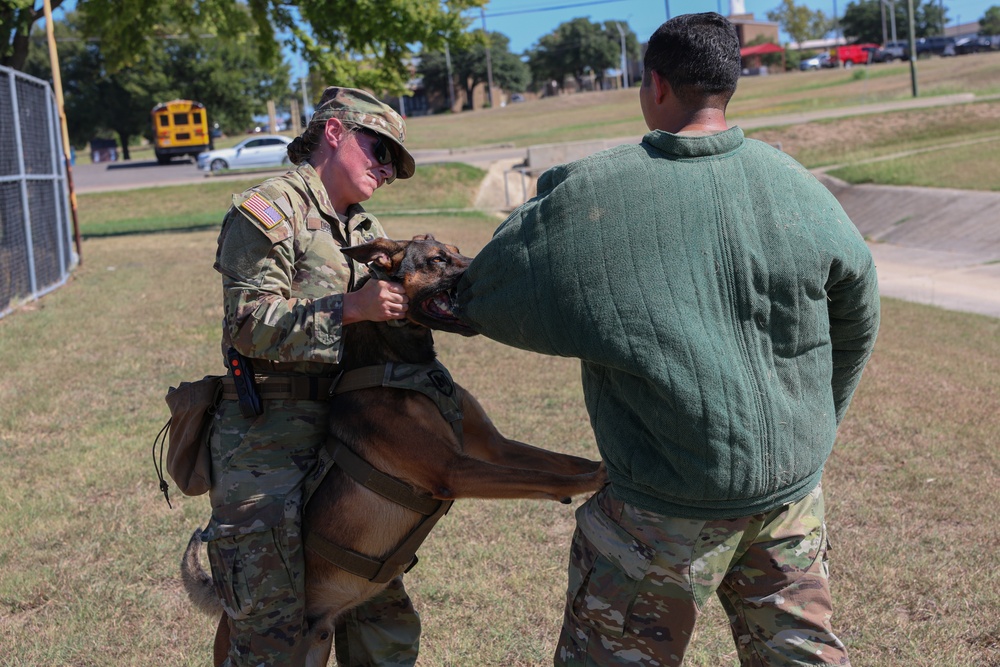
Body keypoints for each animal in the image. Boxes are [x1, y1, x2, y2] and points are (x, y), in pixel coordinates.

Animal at [180, 236, 604, 667]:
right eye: (438, 259)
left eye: (457, 250)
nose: (489, 270)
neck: (400, 361)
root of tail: (226, 613)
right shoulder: (453, 469)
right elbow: (542, 476)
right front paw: (599, 479)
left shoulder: (495, 448)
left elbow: (557, 462)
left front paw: (601, 464)